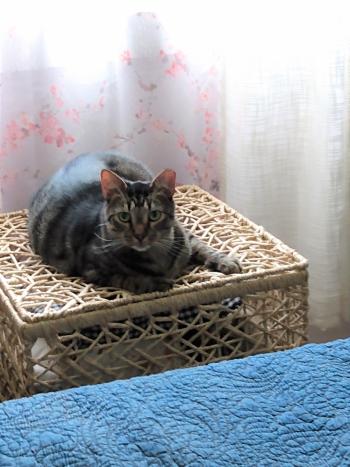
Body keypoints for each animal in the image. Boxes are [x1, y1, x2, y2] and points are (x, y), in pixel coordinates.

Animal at [28, 152, 241, 294]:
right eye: (124, 217)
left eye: (154, 215)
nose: (140, 234)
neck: (158, 256)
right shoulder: (91, 269)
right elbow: (127, 279)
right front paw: (154, 282)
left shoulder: (183, 234)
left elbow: (200, 245)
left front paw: (225, 260)